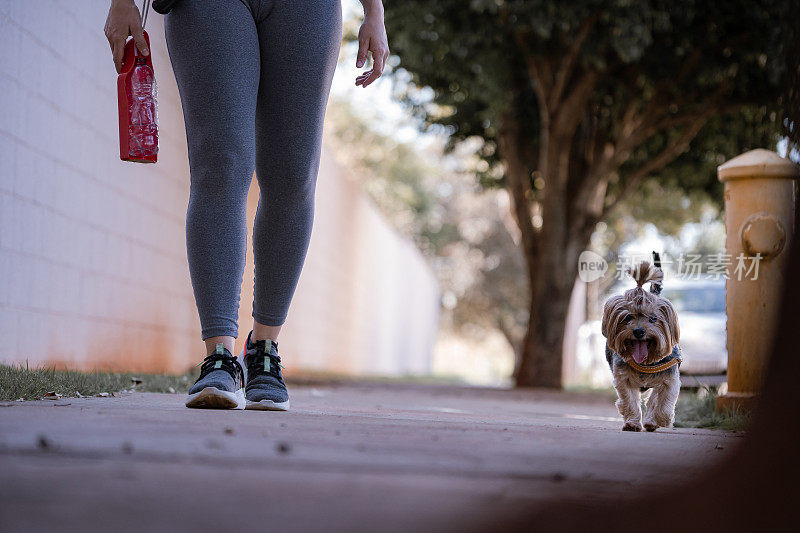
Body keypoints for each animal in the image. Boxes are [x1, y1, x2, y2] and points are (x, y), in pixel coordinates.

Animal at [600, 260, 680, 430]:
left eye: (653, 318)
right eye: (628, 317)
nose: (638, 331)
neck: (646, 362)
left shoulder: (669, 378)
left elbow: (663, 400)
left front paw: (662, 419)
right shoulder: (623, 379)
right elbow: (629, 401)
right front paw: (632, 423)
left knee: (654, 399)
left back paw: (651, 421)